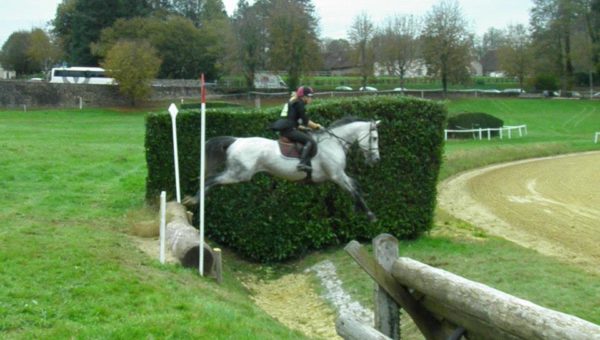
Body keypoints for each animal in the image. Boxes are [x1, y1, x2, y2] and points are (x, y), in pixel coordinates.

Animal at [183, 117, 380, 222]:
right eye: (375, 138)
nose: (376, 160)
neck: (334, 143)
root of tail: (236, 140)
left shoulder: (340, 175)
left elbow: (356, 186)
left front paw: (358, 209)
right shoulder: (336, 176)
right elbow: (355, 190)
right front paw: (370, 214)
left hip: (237, 173)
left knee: (211, 180)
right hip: (239, 174)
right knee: (211, 180)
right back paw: (194, 200)